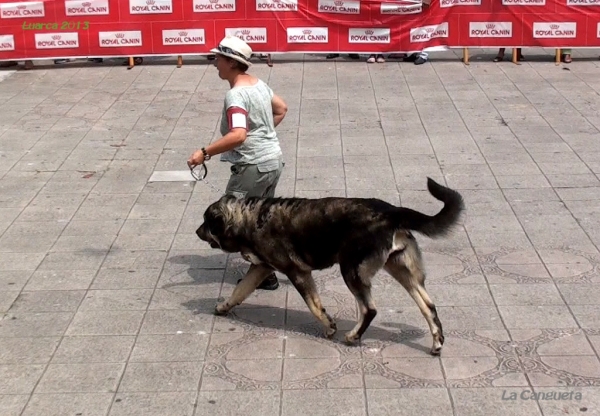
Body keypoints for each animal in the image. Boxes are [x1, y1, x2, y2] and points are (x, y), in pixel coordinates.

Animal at [197, 177, 464, 356]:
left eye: (206, 221)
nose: (197, 232)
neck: (250, 218)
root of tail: (391, 211)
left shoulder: (298, 272)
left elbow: (314, 306)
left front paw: (329, 327)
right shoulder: (261, 268)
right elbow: (238, 292)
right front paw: (223, 307)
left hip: (351, 271)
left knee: (370, 309)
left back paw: (353, 335)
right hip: (402, 272)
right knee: (428, 306)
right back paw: (437, 342)